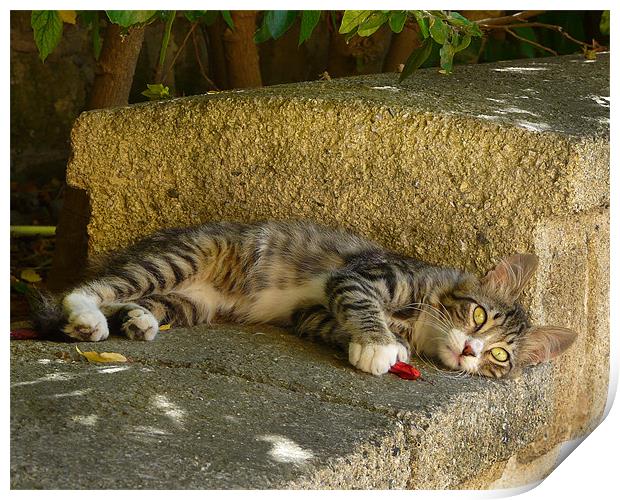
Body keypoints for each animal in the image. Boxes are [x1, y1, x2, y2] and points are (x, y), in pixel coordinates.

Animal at [32, 221, 576, 376]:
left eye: (500, 356)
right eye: (479, 315)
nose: (470, 350)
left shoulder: (309, 313)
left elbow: (333, 322)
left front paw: (378, 347)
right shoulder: (361, 277)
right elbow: (363, 306)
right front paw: (381, 345)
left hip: (191, 303)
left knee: (144, 302)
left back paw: (138, 321)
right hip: (181, 259)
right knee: (93, 288)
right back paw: (87, 318)